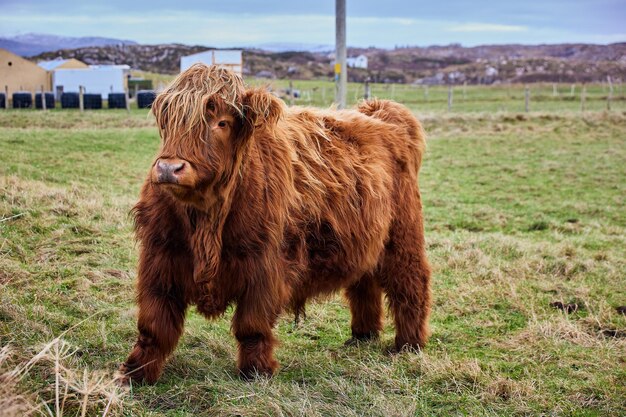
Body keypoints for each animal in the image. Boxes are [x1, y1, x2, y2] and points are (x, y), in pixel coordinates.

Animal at [117, 63, 428, 382]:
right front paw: (135, 373)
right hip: (364, 238)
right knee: (364, 282)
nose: (169, 168)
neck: (206, 218)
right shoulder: (160, 258)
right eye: (168, 121)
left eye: (222, 123)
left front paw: (255, 371)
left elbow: (251, 325)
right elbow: (154, 325)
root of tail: (380, 113)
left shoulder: (263, 265)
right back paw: (362, 335)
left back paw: (408, 344)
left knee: (411, 283)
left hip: (403, 235)